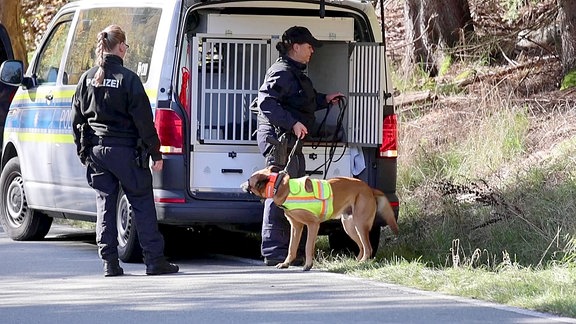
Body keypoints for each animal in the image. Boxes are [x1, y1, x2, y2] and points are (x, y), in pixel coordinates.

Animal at [241, 167, 398, 270]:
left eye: (249, 181)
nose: (241, 185)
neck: (281, 187)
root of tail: (369, 188)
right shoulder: (296, 227)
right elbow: (291, 247)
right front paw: (286, 263)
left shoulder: (313, 225)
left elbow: (308, 246)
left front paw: (308, 265)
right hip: (349, 226)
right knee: (362, 246)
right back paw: (356, 262)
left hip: (360, 224)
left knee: (368, 247)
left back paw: (362, 262)